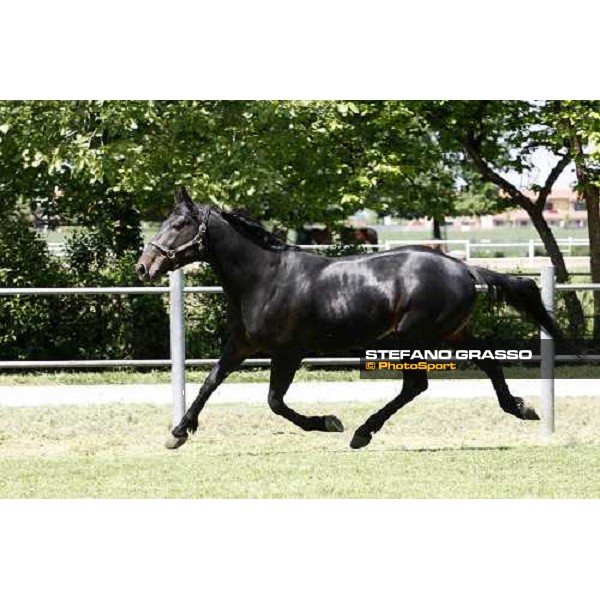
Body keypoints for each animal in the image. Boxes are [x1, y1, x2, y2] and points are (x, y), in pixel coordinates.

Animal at [137, 188, 564, 450]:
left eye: (179, 225)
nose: (144, 267)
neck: (265, 277)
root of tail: (464, 268)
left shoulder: (288, 352)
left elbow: (275, 401)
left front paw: (328, 422)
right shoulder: (241, 345)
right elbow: (211, 381)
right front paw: (178, 433)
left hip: (413, 337)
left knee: (416, 386)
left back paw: (361, 433)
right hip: (452, 334)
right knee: (487, 363)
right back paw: (521, 408)